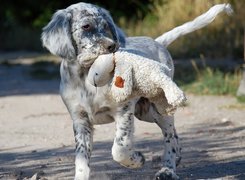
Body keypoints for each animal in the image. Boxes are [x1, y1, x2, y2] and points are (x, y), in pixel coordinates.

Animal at [41, 2, 231, 179]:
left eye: (106, 26)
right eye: (86, 26)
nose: (112, 46)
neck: (86, 78)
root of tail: (158, 42)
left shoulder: (123, 110)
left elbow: (120, 148)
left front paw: (137, 160)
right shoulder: (80, 120)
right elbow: (81, 159)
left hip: (158, 109)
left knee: (169, 136)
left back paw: (168, 169)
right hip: (145, 112)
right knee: (174, 134)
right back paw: (176, 159)